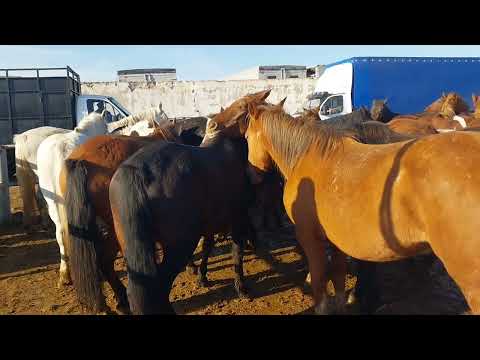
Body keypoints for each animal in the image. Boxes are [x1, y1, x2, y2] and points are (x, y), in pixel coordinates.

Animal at [244, 102, 480, 316]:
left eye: (246, 136)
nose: (252, 174)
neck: (307, 156)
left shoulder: (309, 236)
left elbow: (319, 276)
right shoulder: (336, 238)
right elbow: (338, 273)